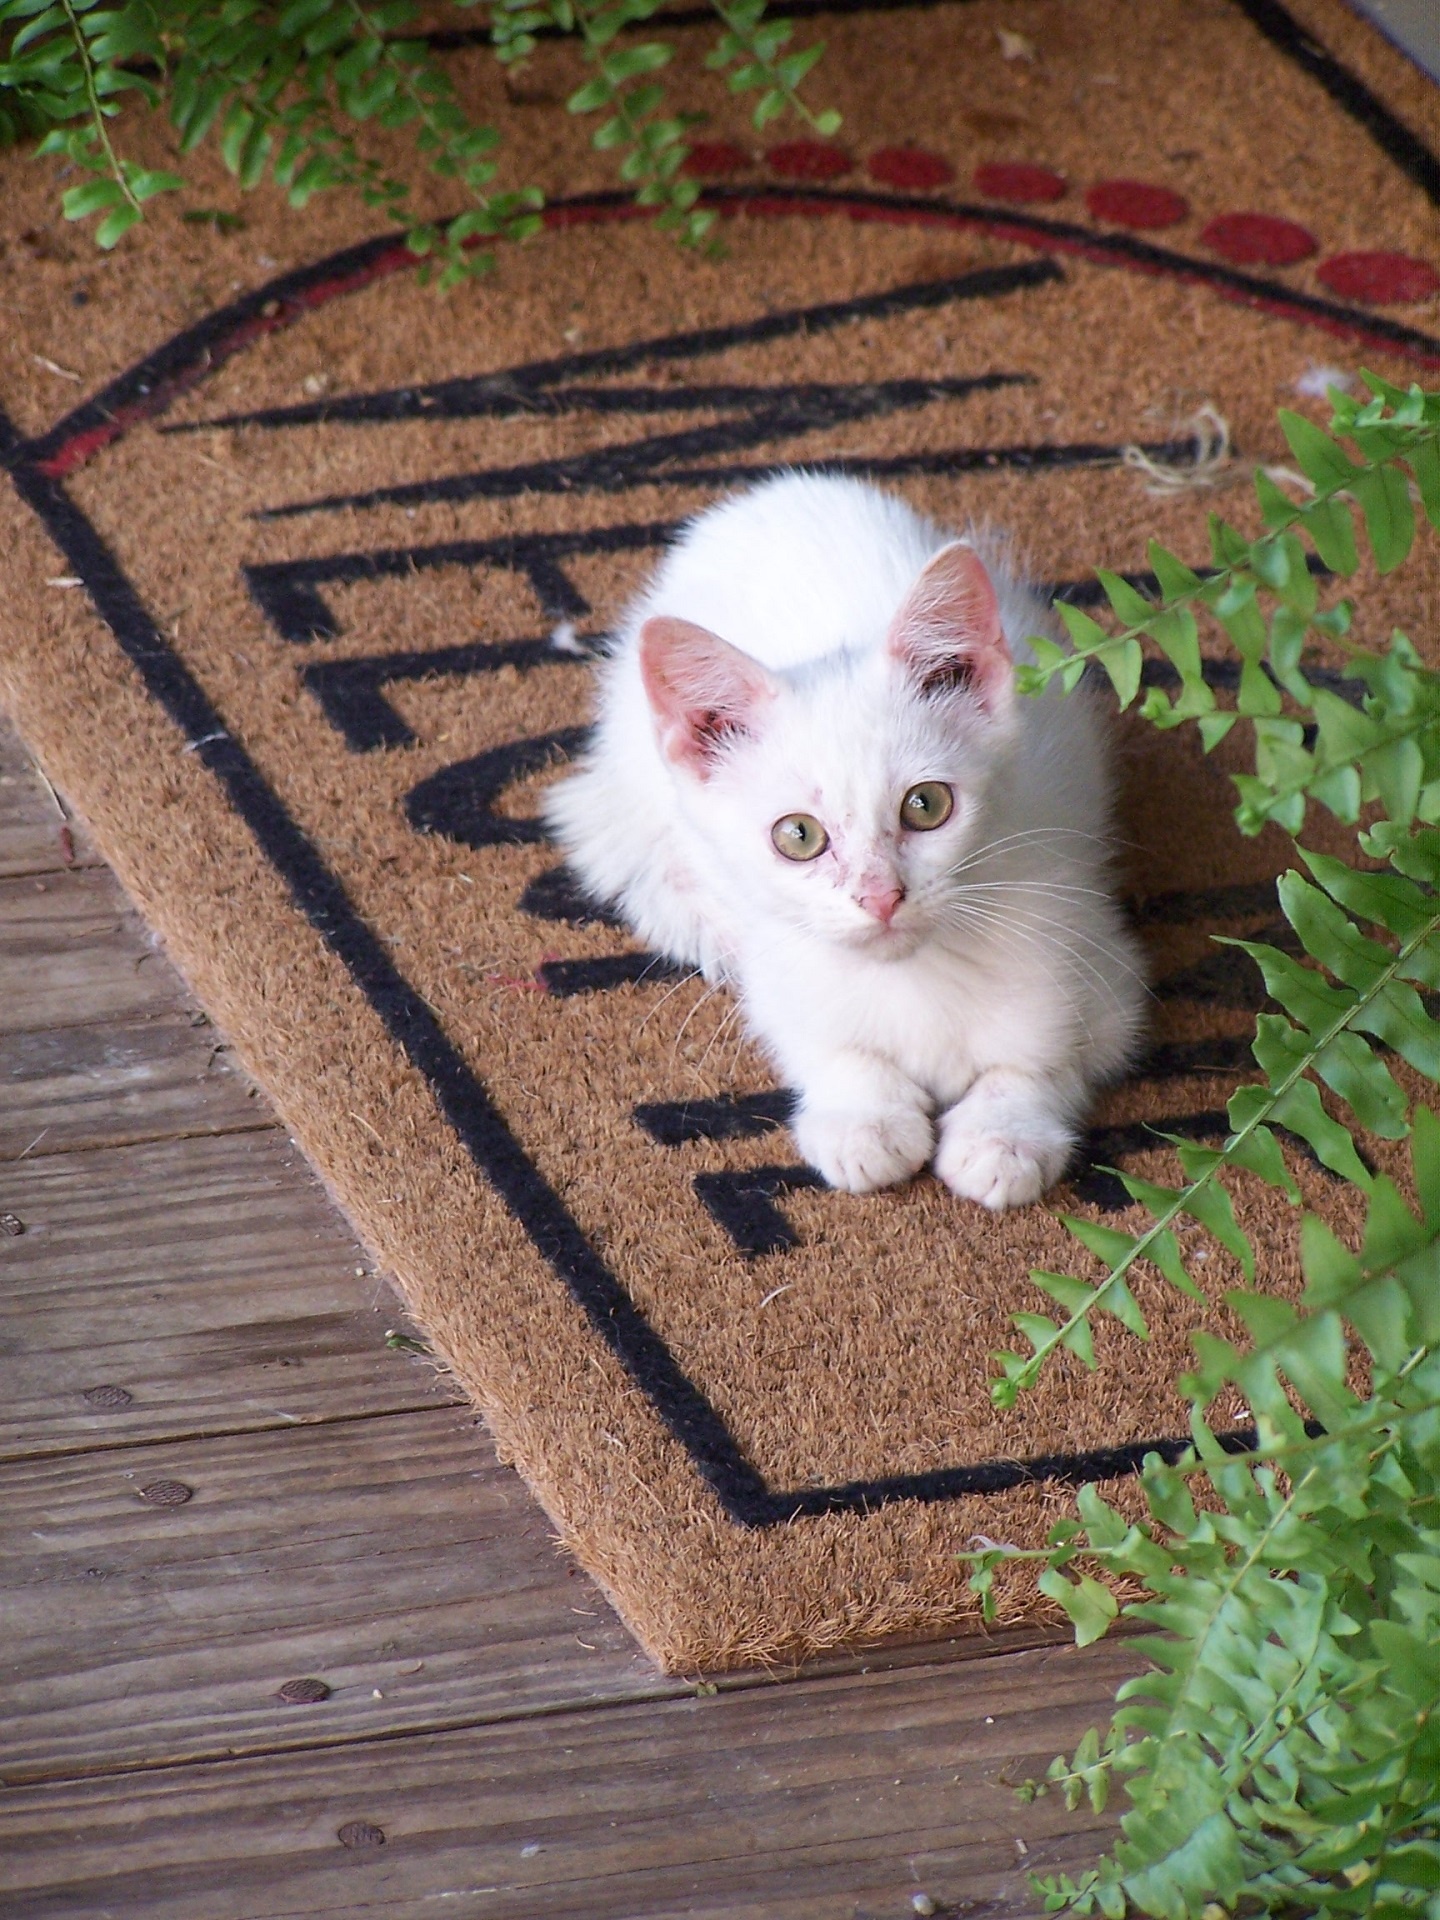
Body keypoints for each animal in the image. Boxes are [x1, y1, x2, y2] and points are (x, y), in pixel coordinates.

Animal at [545, 472, 1144, 1205]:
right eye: (798, 835)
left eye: (926, 805)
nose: (881, 896)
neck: (915, 977)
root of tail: (765, 494)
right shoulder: (780, 968)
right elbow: (820, 1041)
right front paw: (864, 1117)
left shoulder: (1104, 966)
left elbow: (1048, 1060)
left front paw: (1004, 1134)